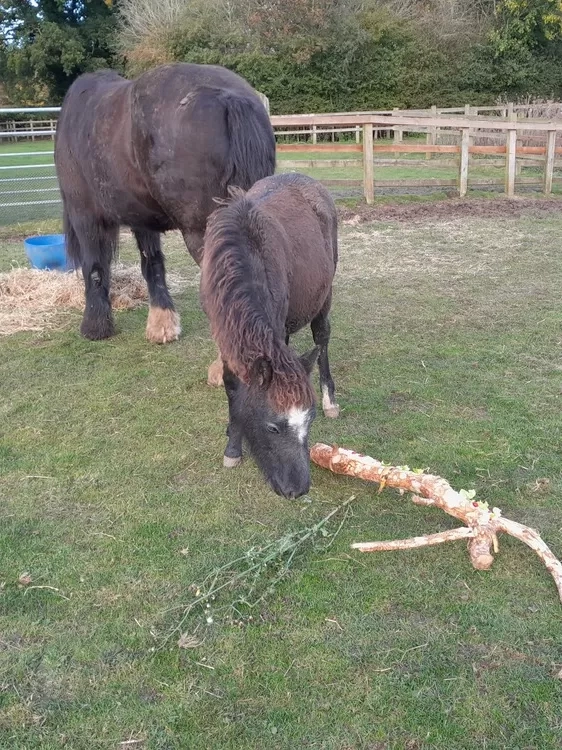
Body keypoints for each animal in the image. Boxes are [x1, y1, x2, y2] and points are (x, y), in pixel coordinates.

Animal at [55, 63, 274, 362]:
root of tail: (228, 97)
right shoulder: (142, 220)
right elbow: (153, 263)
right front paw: (162, 325)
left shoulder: (85, 217)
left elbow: (95, 267)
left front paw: (95, 327)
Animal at [200, 173, 336, 496]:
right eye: (273, 427)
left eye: (310, 421)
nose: (298, 489)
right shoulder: (225, 338)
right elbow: (233, 388)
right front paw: (233, 444)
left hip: (325, 296)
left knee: (322, 338)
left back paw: (330, 398)